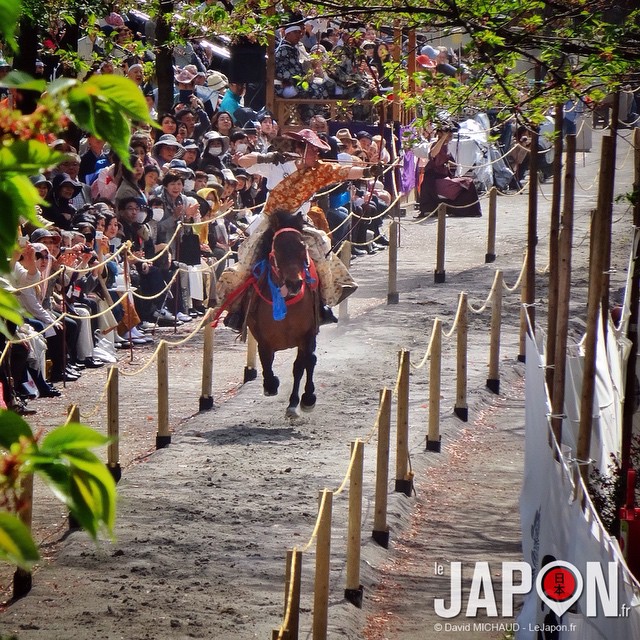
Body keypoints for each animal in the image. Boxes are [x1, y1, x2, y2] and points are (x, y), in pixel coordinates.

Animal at [245, 211, 320, 420]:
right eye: (277, 248)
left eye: (302, 247)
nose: (294, 283)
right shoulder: (262, 337)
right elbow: (266, 360)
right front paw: (271, 384)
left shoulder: (307, 334)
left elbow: (303, 364)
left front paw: (304, 399)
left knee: (304, 364)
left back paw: (299, 401)